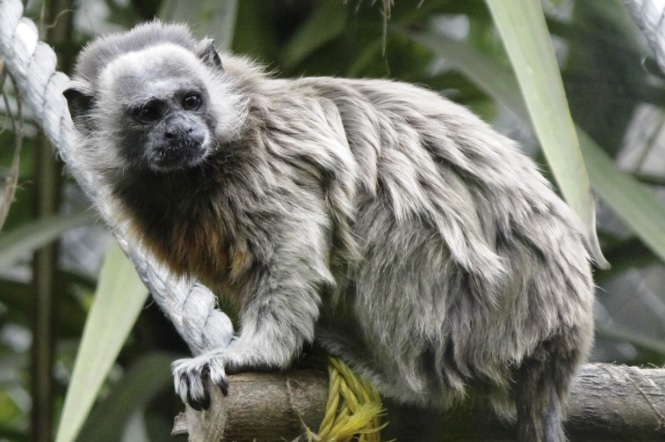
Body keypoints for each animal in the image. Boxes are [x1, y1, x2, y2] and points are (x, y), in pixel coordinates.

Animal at [66, 21, 596, 442]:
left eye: (191, 101)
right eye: (149, 113)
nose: (181, 130)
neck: (207, 167)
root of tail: (559, 346)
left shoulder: (268, 170)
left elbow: (291, 247)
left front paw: (257, 354)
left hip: (481, 324)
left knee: (391, 215)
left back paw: (404, 382)